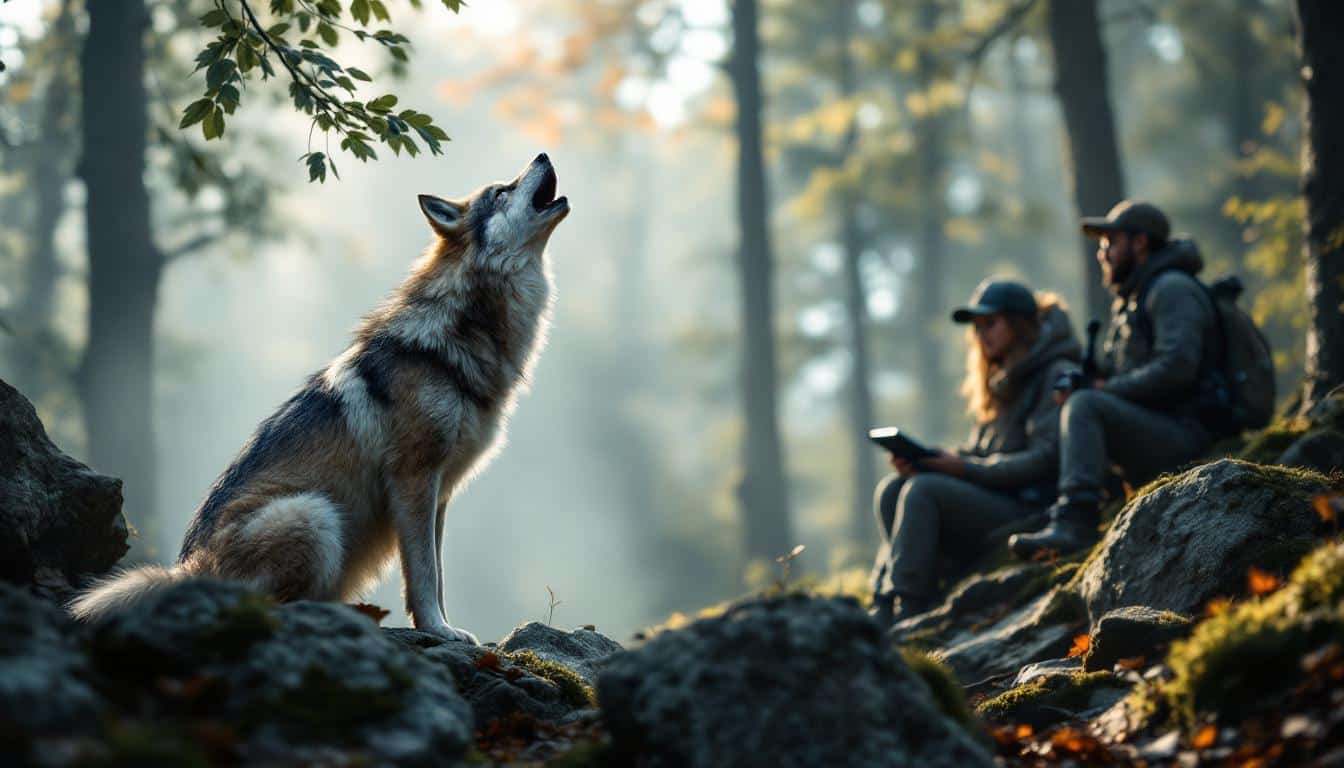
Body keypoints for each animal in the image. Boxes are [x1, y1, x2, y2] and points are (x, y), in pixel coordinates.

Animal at [70, 154, 570, 643]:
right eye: (501, 191)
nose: (543, 154)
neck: (464, 331)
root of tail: (184, 572)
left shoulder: (440, 492)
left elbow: (438, 571)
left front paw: (443, 624)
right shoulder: (414, 479)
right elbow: (424, 574)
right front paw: (438, 629)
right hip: (314, 513)